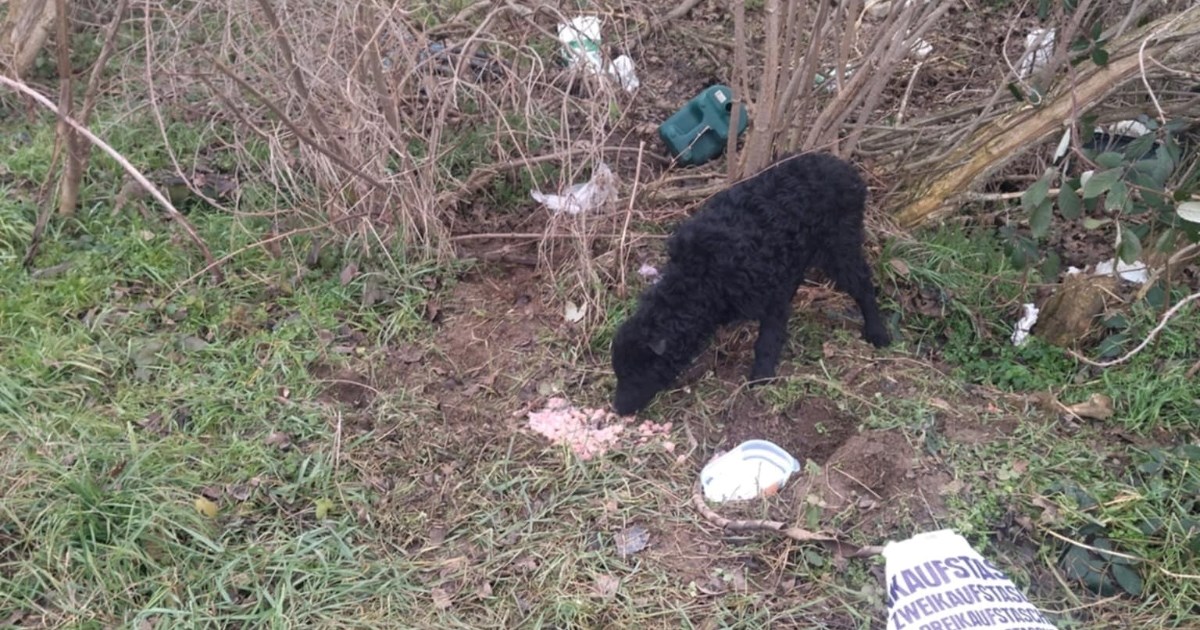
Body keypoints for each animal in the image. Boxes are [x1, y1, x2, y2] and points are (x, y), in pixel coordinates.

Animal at [614, 151, 888, 415]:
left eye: (639, 372)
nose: (618, 409)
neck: (699, 277)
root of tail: (848, 172)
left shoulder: (771, 295)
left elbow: (767, 339)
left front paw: (761, 378)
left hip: (840, 244)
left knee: (863, 285)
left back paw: (879, 334)